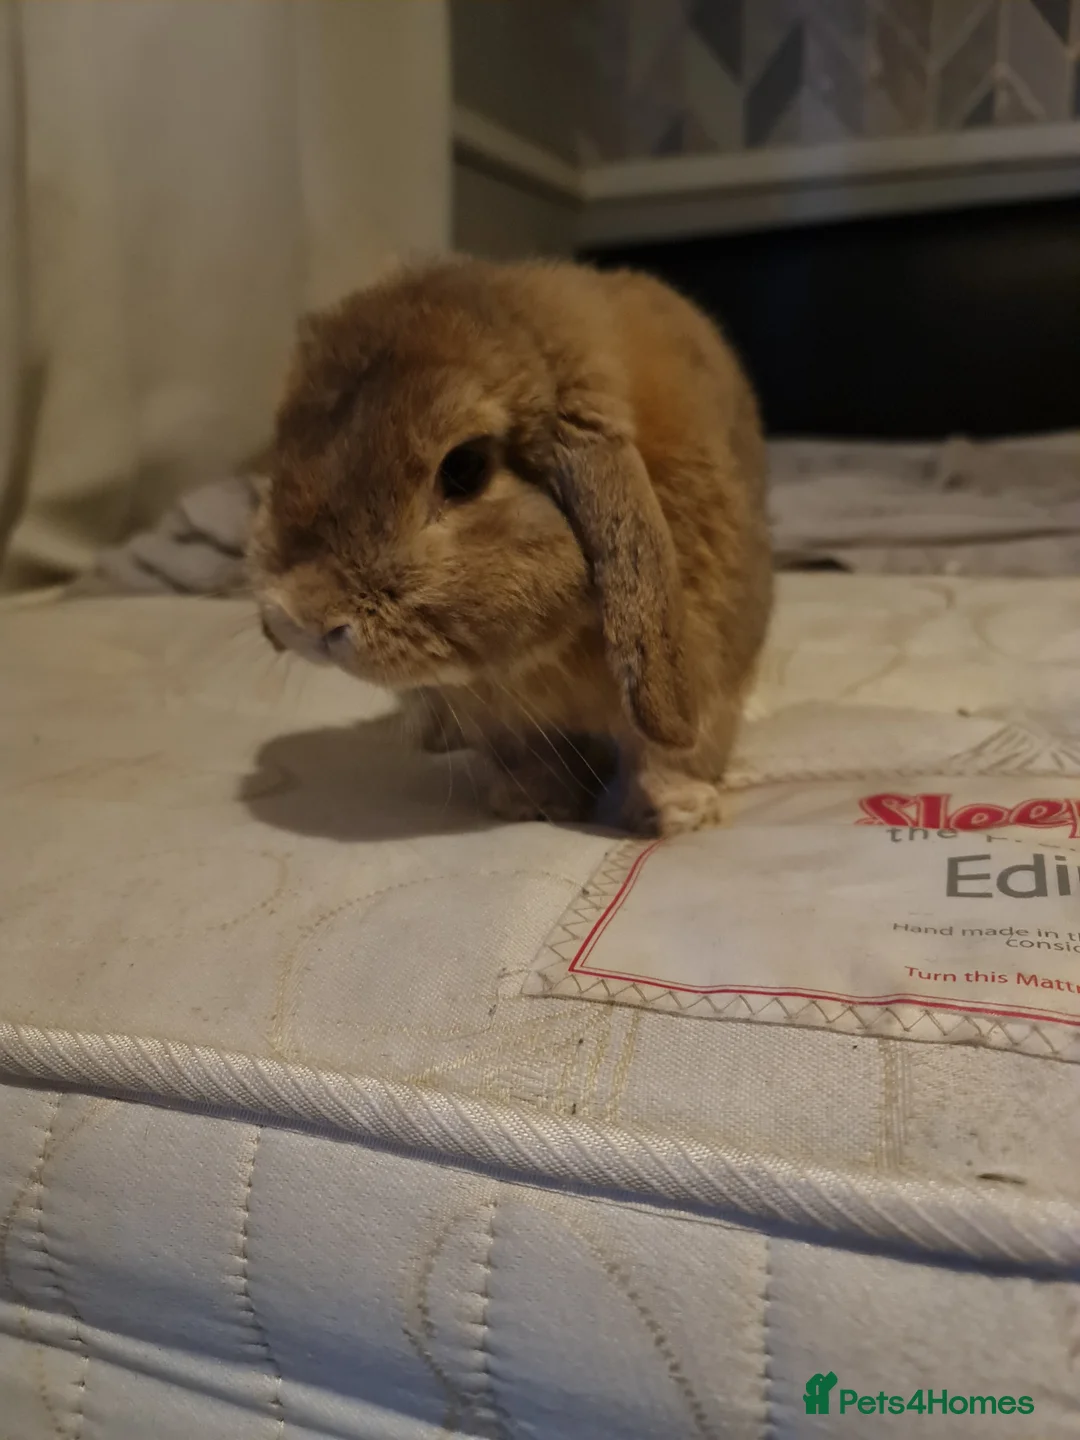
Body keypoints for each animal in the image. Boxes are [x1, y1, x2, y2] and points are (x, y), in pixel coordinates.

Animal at [249, 257, 772, 836]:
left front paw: (678, 816)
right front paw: (531, 805)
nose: (301, 617)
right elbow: (532, 758)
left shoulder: (704, 670)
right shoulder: (505, 721)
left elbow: (667, 757)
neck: (551, 652)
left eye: (465, 468)